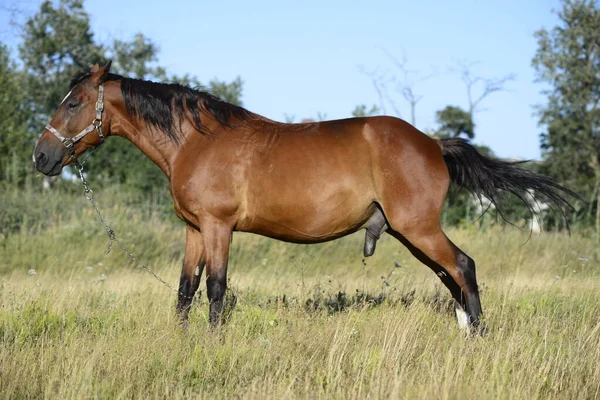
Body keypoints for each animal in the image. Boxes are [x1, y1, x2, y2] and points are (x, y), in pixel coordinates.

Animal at [32, 61, 576, 332]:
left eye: (74, 103)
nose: (41, 156)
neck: (196, 140)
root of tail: (431, 143)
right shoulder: (193, 230)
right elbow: (186, 290)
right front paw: (181, 342)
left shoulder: (218, 227)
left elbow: (216, 290)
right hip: (411, 233)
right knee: (452, 276)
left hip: (417, 227)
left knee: (462, 267)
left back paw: (478, 335)